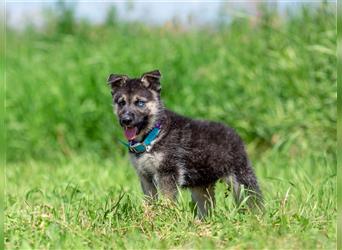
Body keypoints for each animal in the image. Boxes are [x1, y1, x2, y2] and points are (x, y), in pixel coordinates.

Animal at [108, 70, 264, 217]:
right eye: (121, 103)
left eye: (140, 102)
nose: (126, 120)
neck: (153, 136)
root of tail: (233, 132)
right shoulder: (145, 176)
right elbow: (149, 201)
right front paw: (149, 216)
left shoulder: (167, 173)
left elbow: (167, 200)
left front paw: (165, 216)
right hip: (201, 184)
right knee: (207, 207)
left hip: (240, 177)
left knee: (254, 199)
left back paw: (257, 217)